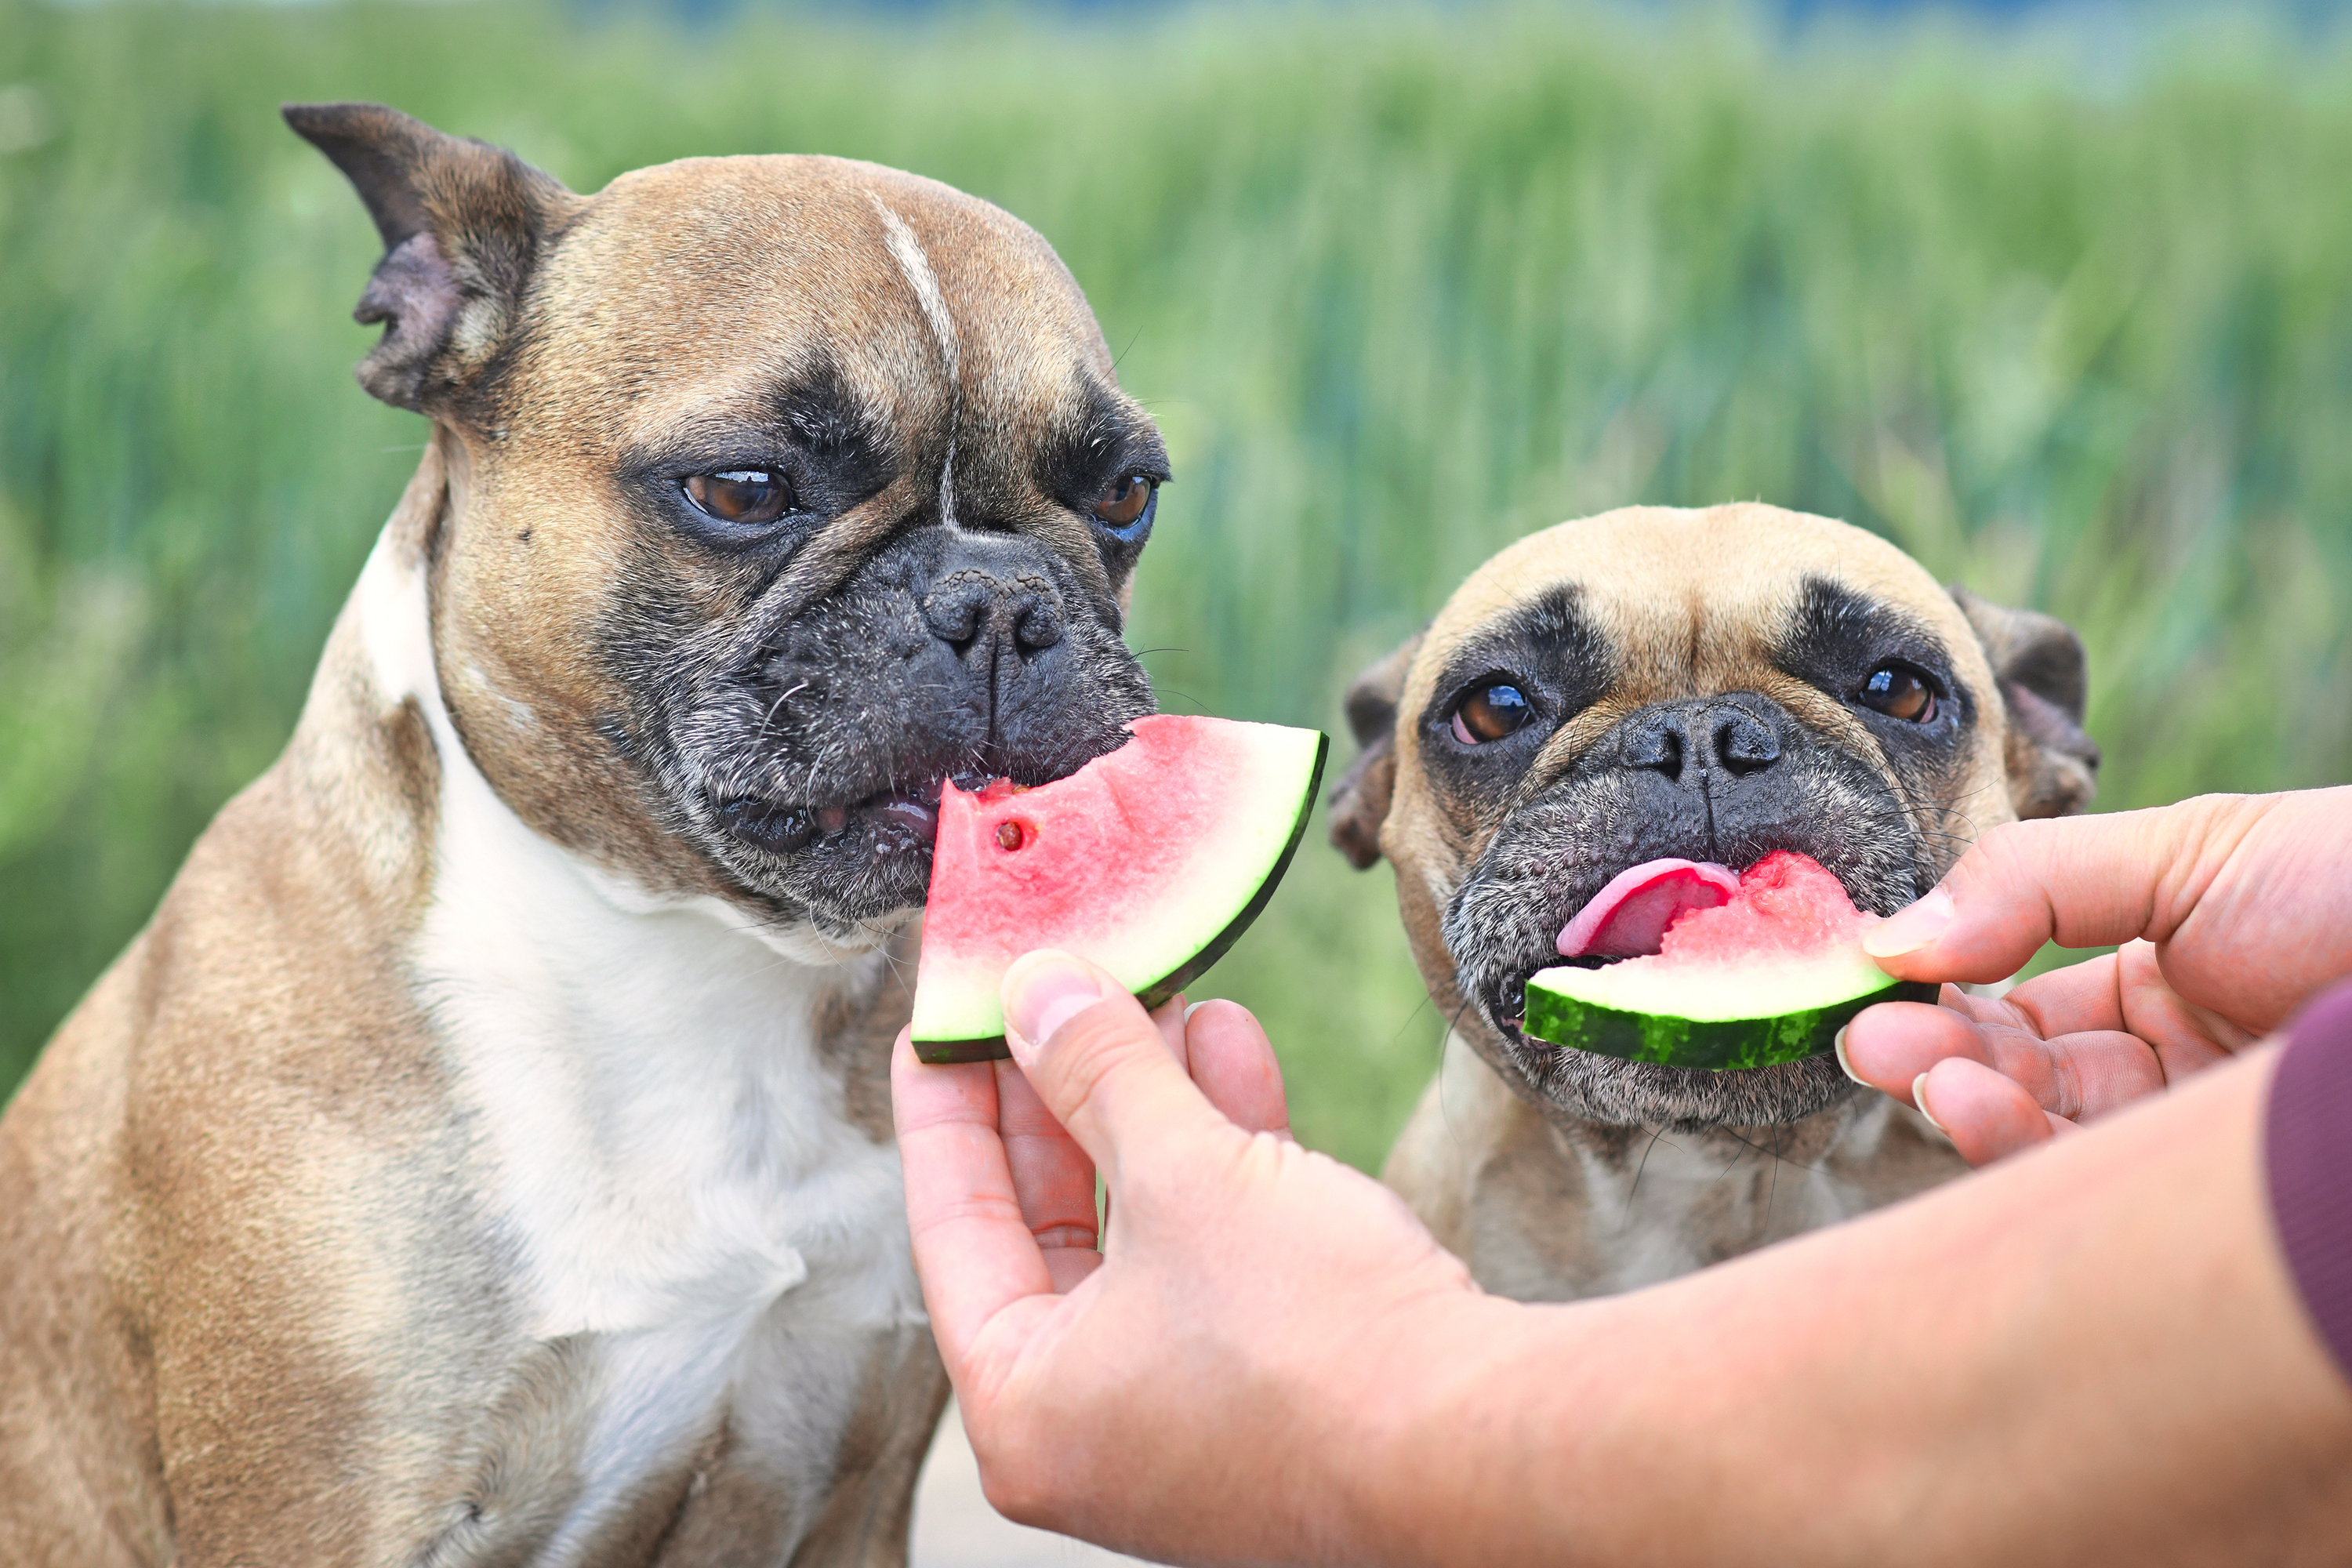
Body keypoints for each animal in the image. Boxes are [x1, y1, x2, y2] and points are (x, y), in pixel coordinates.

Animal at [0, 103, 1176, 1561]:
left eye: (1127, 495)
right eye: (744, 488)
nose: (1001, 599)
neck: (688, 958)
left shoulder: (855, 1488)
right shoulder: (335, 1512)